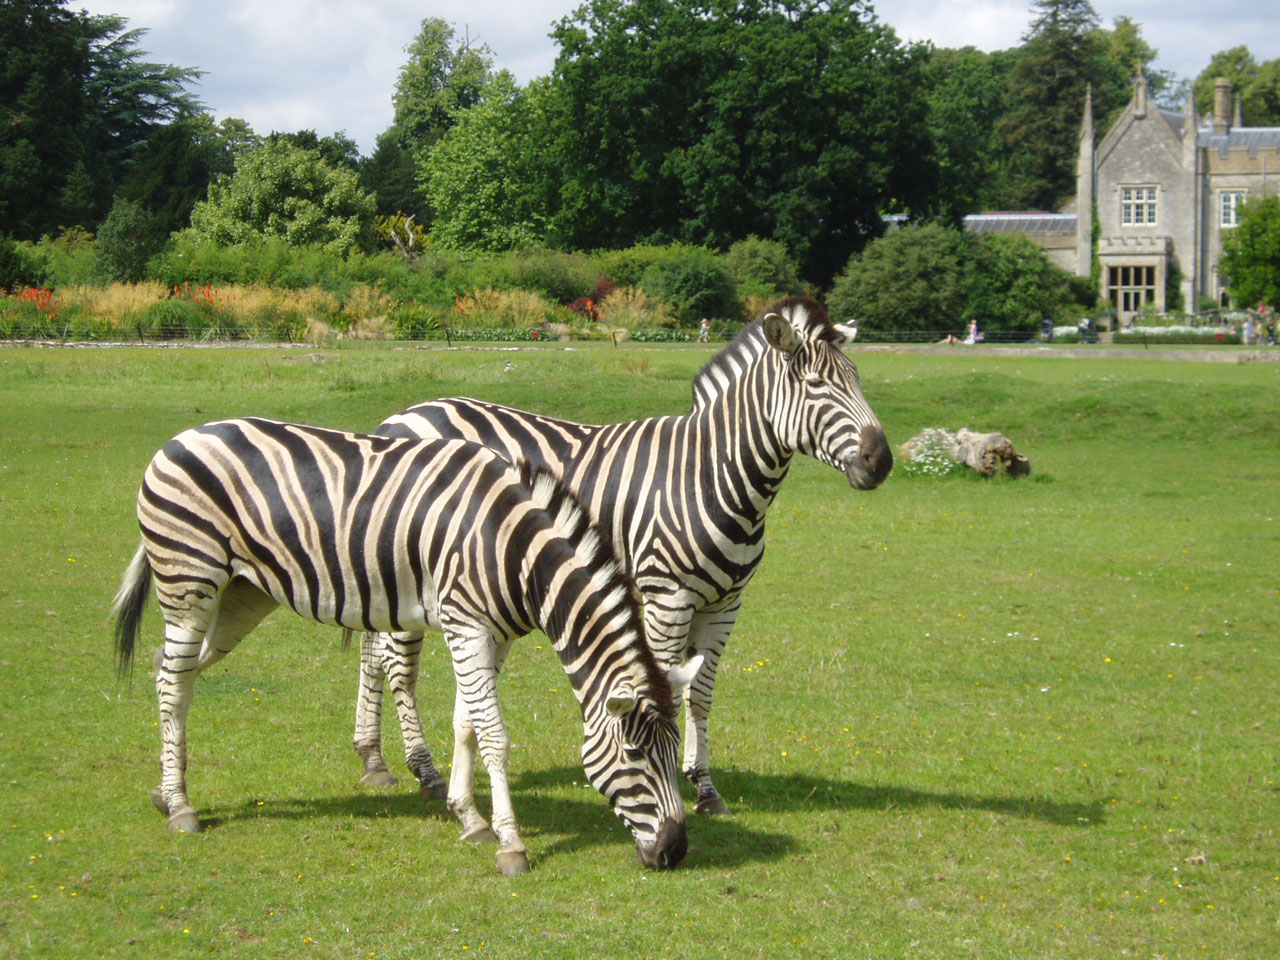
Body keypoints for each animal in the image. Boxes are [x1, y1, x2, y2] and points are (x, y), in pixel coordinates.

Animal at [112, 417, 701, 875]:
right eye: (635, 754)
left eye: (675, 751)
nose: (676, 852)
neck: (513, 551)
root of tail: (181, 436)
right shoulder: (466, 626)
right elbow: (494, 736)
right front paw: (511, 845)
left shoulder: (491, 635)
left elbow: (467, 724)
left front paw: (469, 817)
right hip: (189, 583)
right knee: (174, 686)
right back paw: (182, 808)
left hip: (239, 597)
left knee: (170, 674)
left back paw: (165, 790)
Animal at [353, 296, 890, 814]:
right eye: (816, 384)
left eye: (859, 382)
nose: (881, 462)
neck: (710, 472)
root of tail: (399, 417)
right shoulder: (667, 598)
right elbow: (668, 688)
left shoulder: (725, 605)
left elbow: (700, 694)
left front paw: (705, 787)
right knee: (400, 666)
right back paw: (424, 770)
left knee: (373, 651)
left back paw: (374, 758)